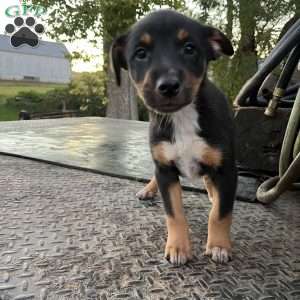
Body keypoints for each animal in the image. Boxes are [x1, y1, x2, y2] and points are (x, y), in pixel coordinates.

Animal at [110, 8, 237, 264]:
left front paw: (219, 245)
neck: (182, 117)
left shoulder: (227, 170)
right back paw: (149, 189)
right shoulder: (165, 169)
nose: (168, 86)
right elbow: (174, 213)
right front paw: (178, 247)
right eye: (140, 53)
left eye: (189, 48)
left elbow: (220, 213)